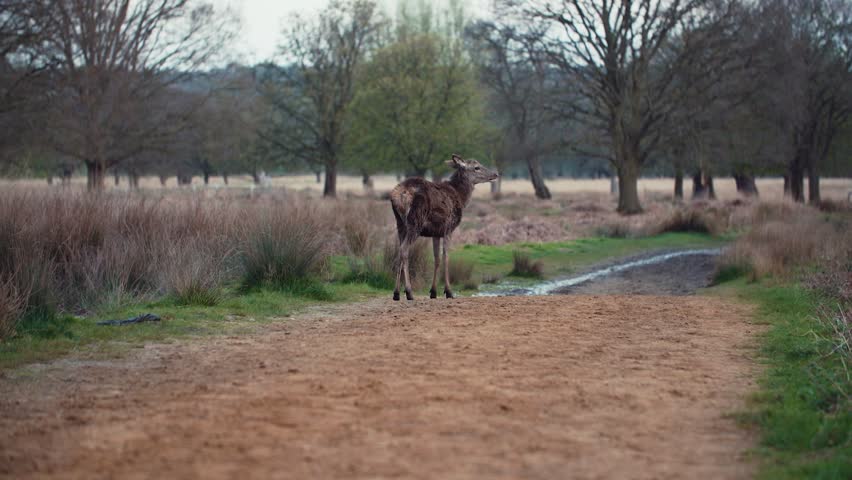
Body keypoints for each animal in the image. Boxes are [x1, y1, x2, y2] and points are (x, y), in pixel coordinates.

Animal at [390, 154, 499, 301]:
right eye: (477, 167)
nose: (495, 174)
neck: (461, 198)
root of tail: (399, 195)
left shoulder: (436, 232)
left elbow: (437, 259)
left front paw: (433, 292)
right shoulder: (449, 227)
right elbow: (446, 257)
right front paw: (449, 291)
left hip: (400, 224)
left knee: (398, 251)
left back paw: (396, 293)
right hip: (415, 222)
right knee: (404, 250)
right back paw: (409, 292)